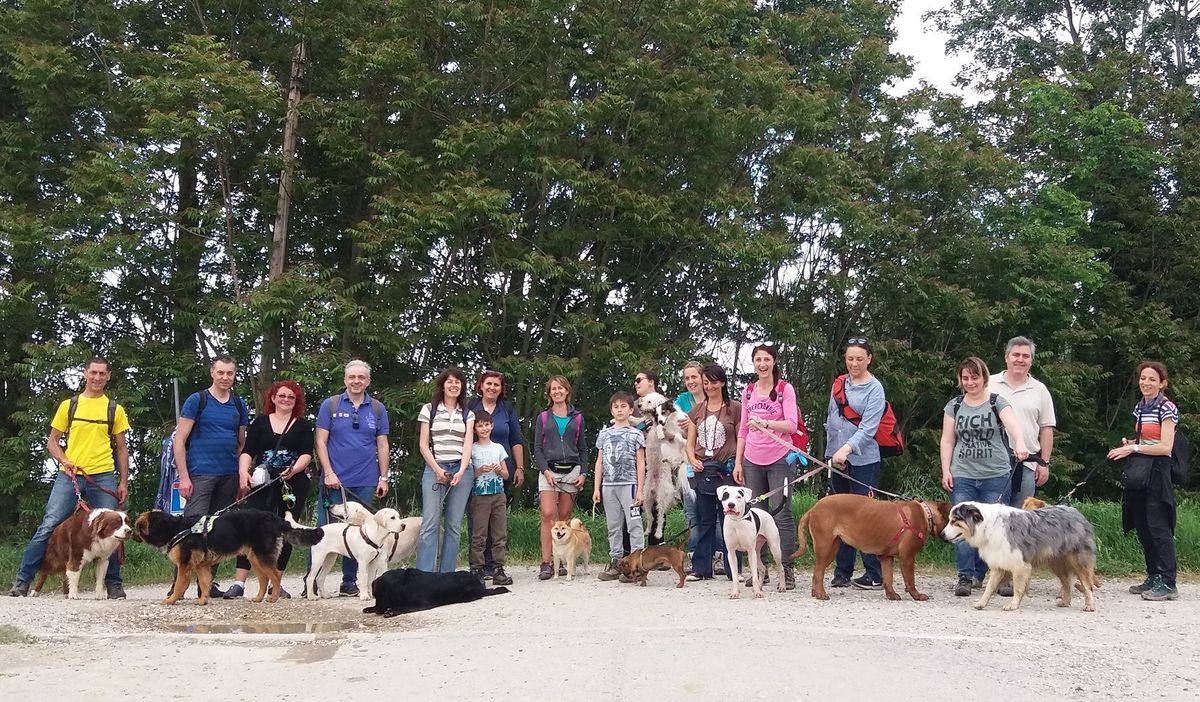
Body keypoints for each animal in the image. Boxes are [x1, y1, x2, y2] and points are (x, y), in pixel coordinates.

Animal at [133, 506, 324, 604]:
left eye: (135, 527)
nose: (129, 534)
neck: (173, 527)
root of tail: (276, 519)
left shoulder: (185, 566)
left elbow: (180, 585)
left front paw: (171, 600)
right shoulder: (202, 566)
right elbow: (205, 583)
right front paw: (203, 601)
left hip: (261, 557)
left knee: (276, 576)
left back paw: (273, 598)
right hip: (254, 558)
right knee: (264, 579)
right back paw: (258, 598)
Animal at [367, 566, 513, 614]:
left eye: (385, 595)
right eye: (375, 596)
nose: (378, 610)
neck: (405, 584)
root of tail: (480, 583)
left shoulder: (422, 604)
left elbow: (403, 607)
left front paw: (391, 611)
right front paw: (369, 608)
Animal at [633, 391, 691, 540]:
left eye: (649, 401)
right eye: (644, 399)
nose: (639, 405)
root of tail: (654, 488)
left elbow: (659, 428)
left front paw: (659, 432)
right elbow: (636, 420)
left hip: (662, 498)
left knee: (660, 518)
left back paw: (658, 533)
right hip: (646, 498)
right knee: (650, 517)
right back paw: (647, 531)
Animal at [792, 489, 950, 600]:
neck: (927, 514)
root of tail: (813, 508)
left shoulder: (887, 558)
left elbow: (888, 578)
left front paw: (891, 594)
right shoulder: (907, 557)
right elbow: (910, 580)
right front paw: (916, 595)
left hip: (833, 547)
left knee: (817, 571)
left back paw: (815, 592)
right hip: (825, 547)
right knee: (818, 572)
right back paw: (820, 594)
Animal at [940, 501, 1099, 609]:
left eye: (954, 521)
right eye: (950, 520)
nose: (942, 535)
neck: (988, 526)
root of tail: (1078, 514)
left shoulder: (1019, 565)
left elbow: (1017, 587)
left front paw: (1013, 604)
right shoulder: (998, 563)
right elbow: (989, 587)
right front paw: (982, 603)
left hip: (1078, 561)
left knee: (1087, 585)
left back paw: (1090, 605)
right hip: (1057, 564)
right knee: (1067, 583)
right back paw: (1065, 602)